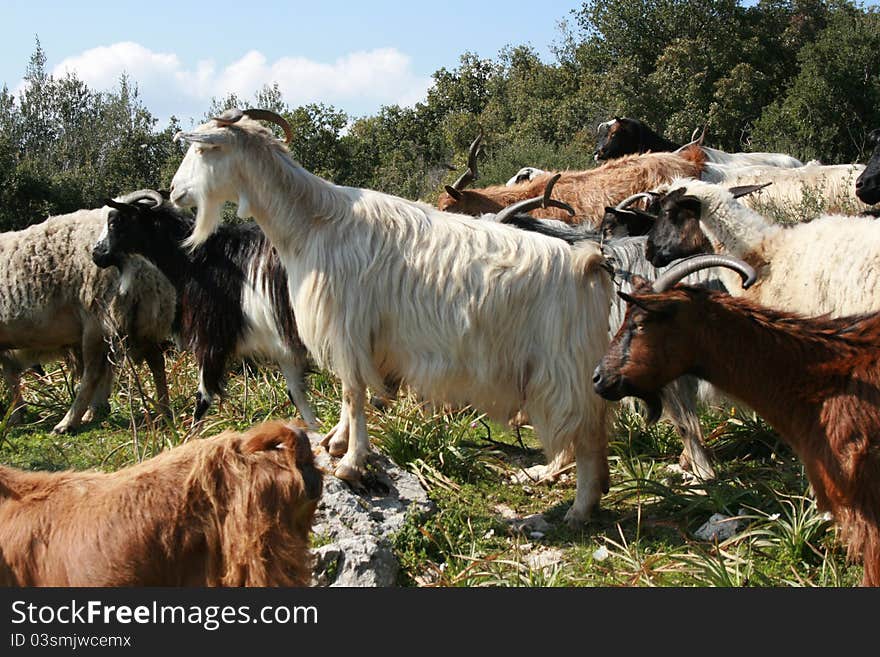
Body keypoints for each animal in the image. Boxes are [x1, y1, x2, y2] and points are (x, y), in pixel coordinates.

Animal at [92, 192, 320, 428]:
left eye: (115, 222)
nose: (96, 255)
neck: (198, 260)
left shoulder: (210, 337)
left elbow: (203, 397)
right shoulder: (280, 344)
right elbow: (296, 393)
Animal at [168, 110, 616, 524]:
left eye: (203, 150)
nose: (173, 191)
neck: (313, 223)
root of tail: (588, 264)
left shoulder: (347, 324)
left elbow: (353, 392)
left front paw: (351, 463)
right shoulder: (352, 334)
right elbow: (350, 392)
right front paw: (336, 443)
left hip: (561, 371)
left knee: (587, 436)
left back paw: (579, 508)